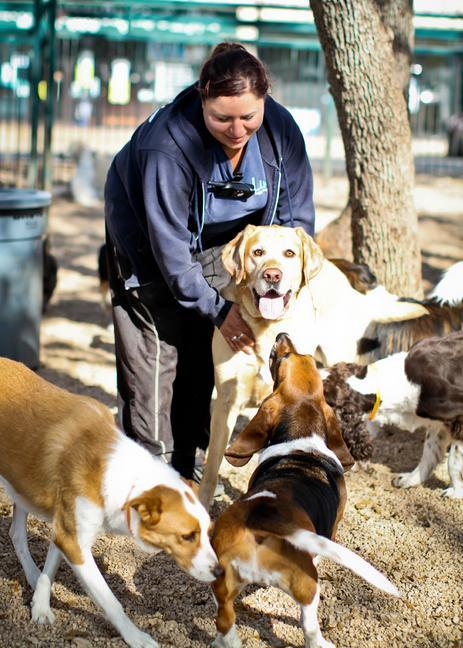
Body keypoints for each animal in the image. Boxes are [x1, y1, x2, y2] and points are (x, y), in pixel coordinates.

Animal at [0, 360, 221, 648]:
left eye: (207, 532)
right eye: (187, 536)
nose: (220, 572)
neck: (123, 475)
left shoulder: (67, 531)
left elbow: (51, 565)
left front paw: (40, 605)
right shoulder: (74, 540)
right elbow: (111, 602)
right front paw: (136, 637)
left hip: (22, 482)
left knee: (16, 533)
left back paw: (32, 575)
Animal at [210, 334, 398, 648]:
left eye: (305, 357)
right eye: (284, 358)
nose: (282, 335)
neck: (302, 435)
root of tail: (263, 521)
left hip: (221, 583)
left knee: (224, 620)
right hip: (308, 585)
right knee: (309, 628)